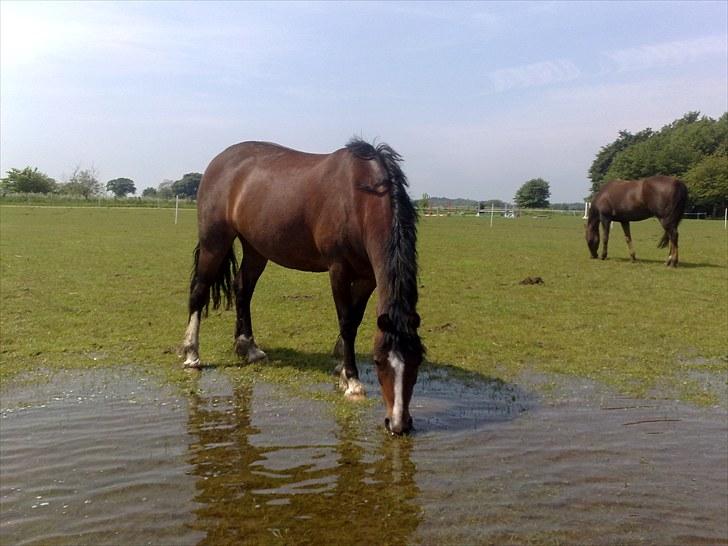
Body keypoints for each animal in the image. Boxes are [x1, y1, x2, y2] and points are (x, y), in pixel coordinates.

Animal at [181, 137, 426, 434]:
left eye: (417, 360)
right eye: (379, 361)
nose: (399, 423)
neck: (360, 199)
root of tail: (218, 161)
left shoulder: (367, 276)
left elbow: (355, 319)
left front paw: (341, 366)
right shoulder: (338, 270)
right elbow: (346, 322)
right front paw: (352, 381)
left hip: (255, 248)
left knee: (243, 289)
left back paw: (247, 347)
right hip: (214, 242)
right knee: (199, 291)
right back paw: (192, 354)